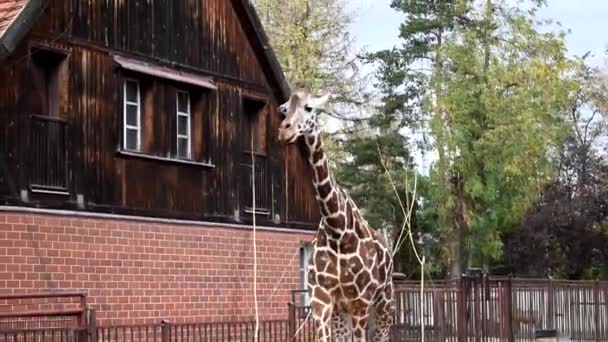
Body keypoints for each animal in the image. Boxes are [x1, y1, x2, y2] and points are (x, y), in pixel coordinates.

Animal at [280, 89, 396, 340]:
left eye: (309, 108)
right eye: (283, 110)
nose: (285, 131)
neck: (338, 230)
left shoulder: (360, 301)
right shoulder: (322, 300)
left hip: (384, 303)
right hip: (342, 312)